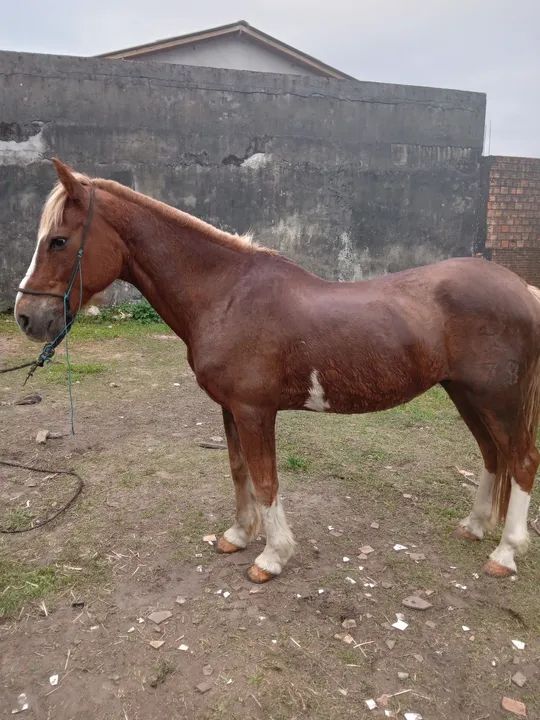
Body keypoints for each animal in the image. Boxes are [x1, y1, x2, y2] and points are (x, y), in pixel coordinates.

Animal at [14, 159, 540, 583]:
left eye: (58, 241)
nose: (25, 317)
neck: (226, 294)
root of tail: (522, 289)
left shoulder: (254, 410)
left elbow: (266, 479)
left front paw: (271, 557)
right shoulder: (230, 408)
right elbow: (239, 470)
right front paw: (237, 535)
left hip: (499, 399)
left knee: (521, 461)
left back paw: (505, 553)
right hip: (465, 393)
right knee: (492, 456)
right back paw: (474, 527)